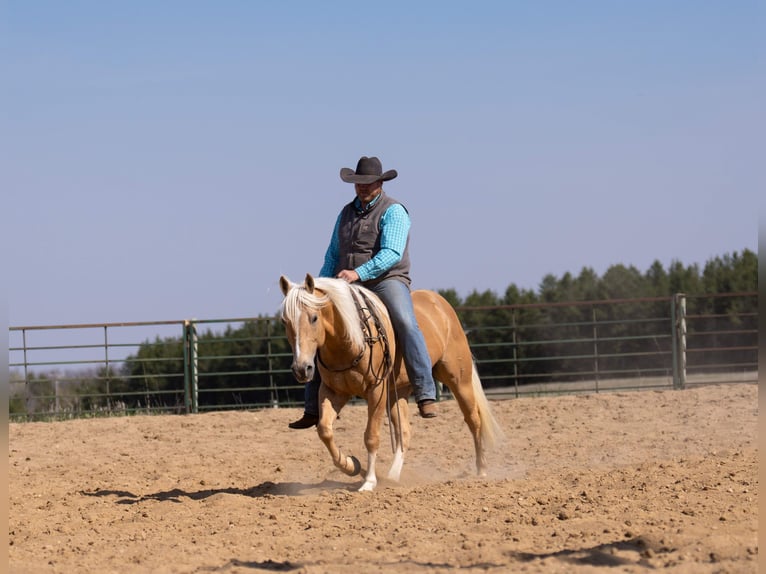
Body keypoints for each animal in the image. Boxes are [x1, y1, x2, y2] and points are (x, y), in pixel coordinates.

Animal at [279, 274, 502, 492]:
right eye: (285, 322)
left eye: (314, 317)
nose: (301, 369)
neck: (352, 341)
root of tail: (441, 304)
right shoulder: (332, 392)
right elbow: (324, 430)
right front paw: (350, 465)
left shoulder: (376, 391)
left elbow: (371, 436)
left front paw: (369, 481)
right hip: (399, 392)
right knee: (404, 432)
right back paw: (392, 477)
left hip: (459, 380)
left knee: (473, 420)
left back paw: (481, 470)